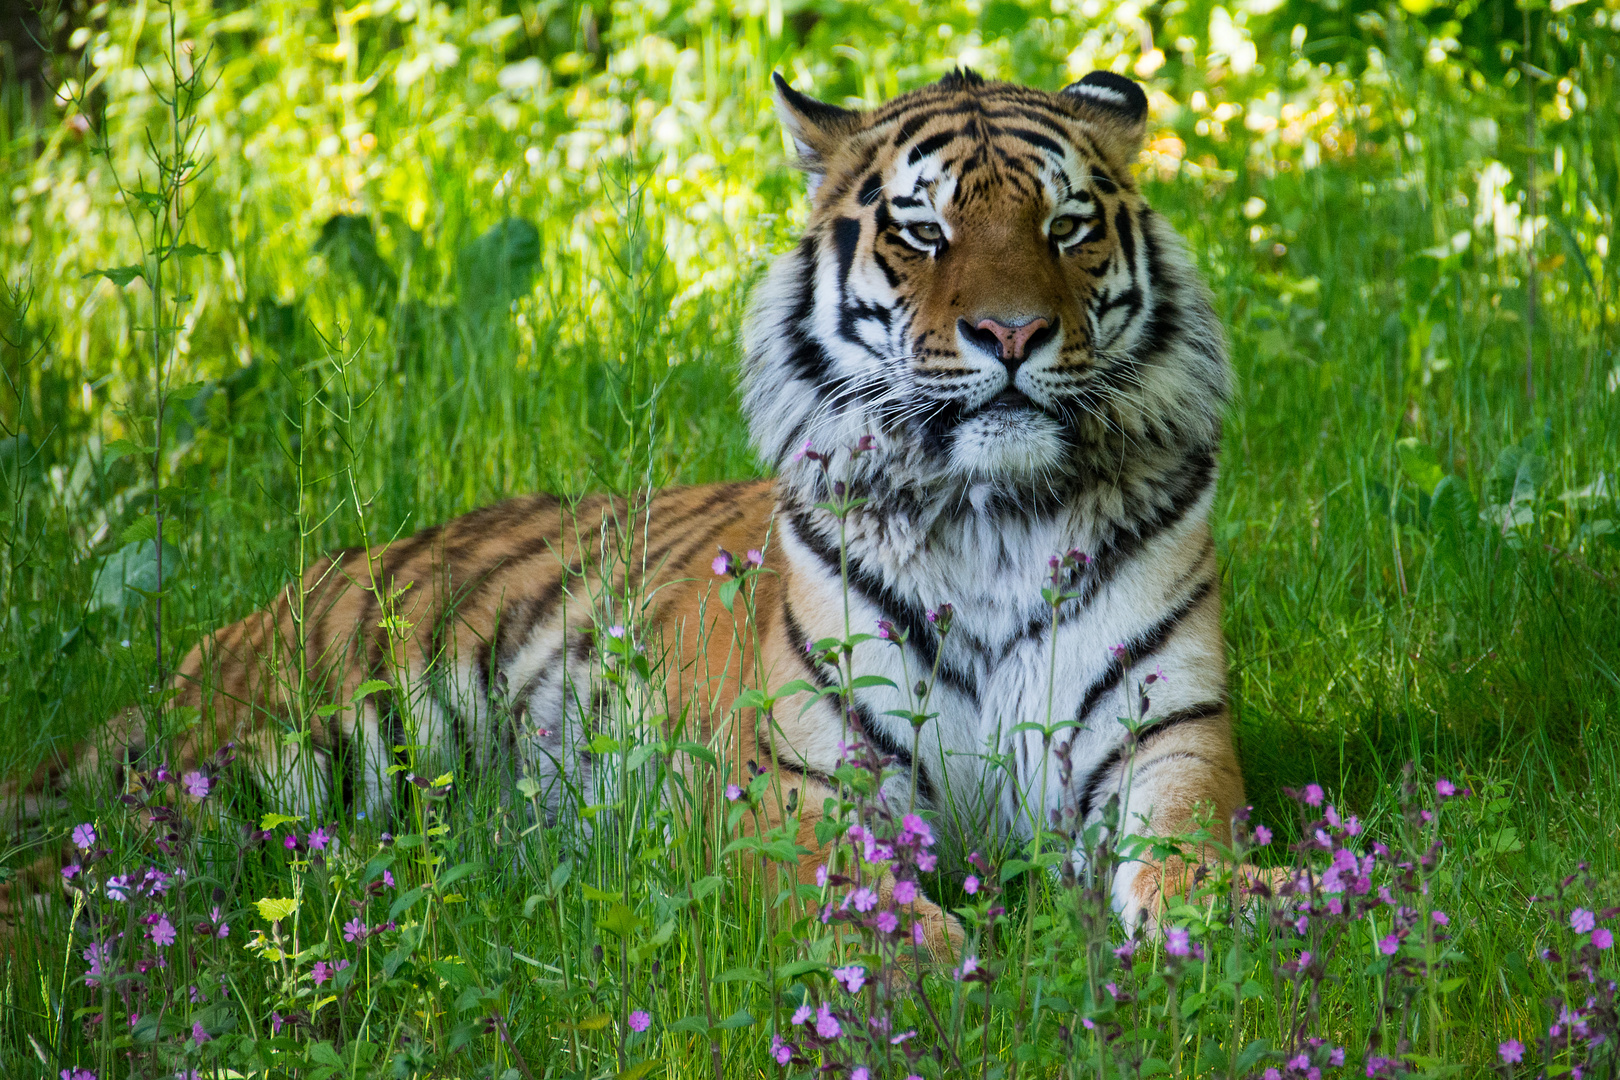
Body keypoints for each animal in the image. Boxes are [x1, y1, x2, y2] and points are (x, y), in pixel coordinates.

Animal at [0, 67, 1244, 952]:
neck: (989, 515)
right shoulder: (792, 786)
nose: (1012, 335)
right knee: (83, 860)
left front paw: (1231, 920)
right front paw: (952, 984)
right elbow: (882, 919)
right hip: (283, 751)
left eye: (1068, 226)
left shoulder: (1169, 736)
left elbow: (1194, 860)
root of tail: (242, 625)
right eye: (922, 230)